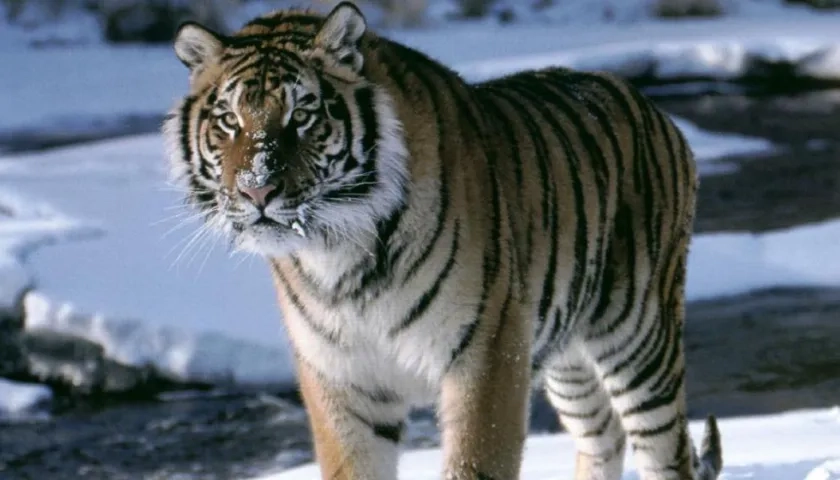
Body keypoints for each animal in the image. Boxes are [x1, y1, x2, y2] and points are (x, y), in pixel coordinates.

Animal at [162, 2, 723, 479]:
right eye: (229, 120)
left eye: (302, 116)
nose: (256, 189)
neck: (338, 253)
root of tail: (654, 107)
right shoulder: (342, 379)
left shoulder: (487, 350)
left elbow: (474, 460)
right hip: (566, 352)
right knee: (603, 434)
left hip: (637, 334)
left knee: (664, 449)